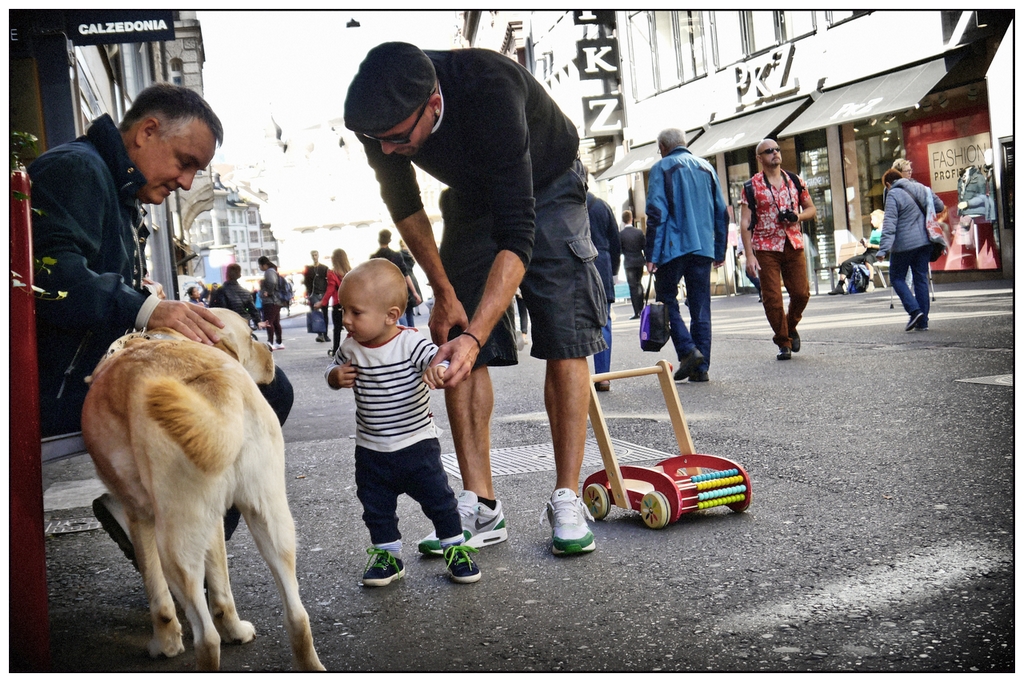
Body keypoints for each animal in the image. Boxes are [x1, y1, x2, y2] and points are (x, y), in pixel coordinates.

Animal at [82, 307, 323, 667]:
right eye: (251, 336)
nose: (268, 348)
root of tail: (214, 389)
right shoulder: (214, 525)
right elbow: (222, 592)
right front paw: (235, 630)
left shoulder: (139, 516)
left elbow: (158, 595)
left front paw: (165, 643)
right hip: (272, 519)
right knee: (298, 616)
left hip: (175, 544)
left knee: (206, 639)